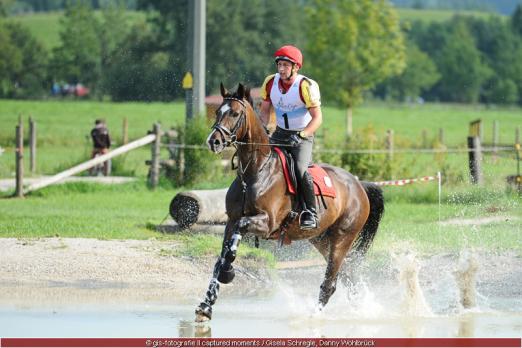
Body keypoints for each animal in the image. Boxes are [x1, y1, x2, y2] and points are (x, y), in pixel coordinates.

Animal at [194, 83, 382, 322]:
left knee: (330, 281)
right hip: (322, 239)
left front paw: (228, 273)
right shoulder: (231, 221)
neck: (255, 171)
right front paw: (206, 306)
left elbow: (232, 246)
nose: (214, 141)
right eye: (218, 111)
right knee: (348, 273)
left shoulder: (266, 223)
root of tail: (359, 185)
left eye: (235, 113)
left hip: (342, 238)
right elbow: (221, 258)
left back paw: (314, 315)